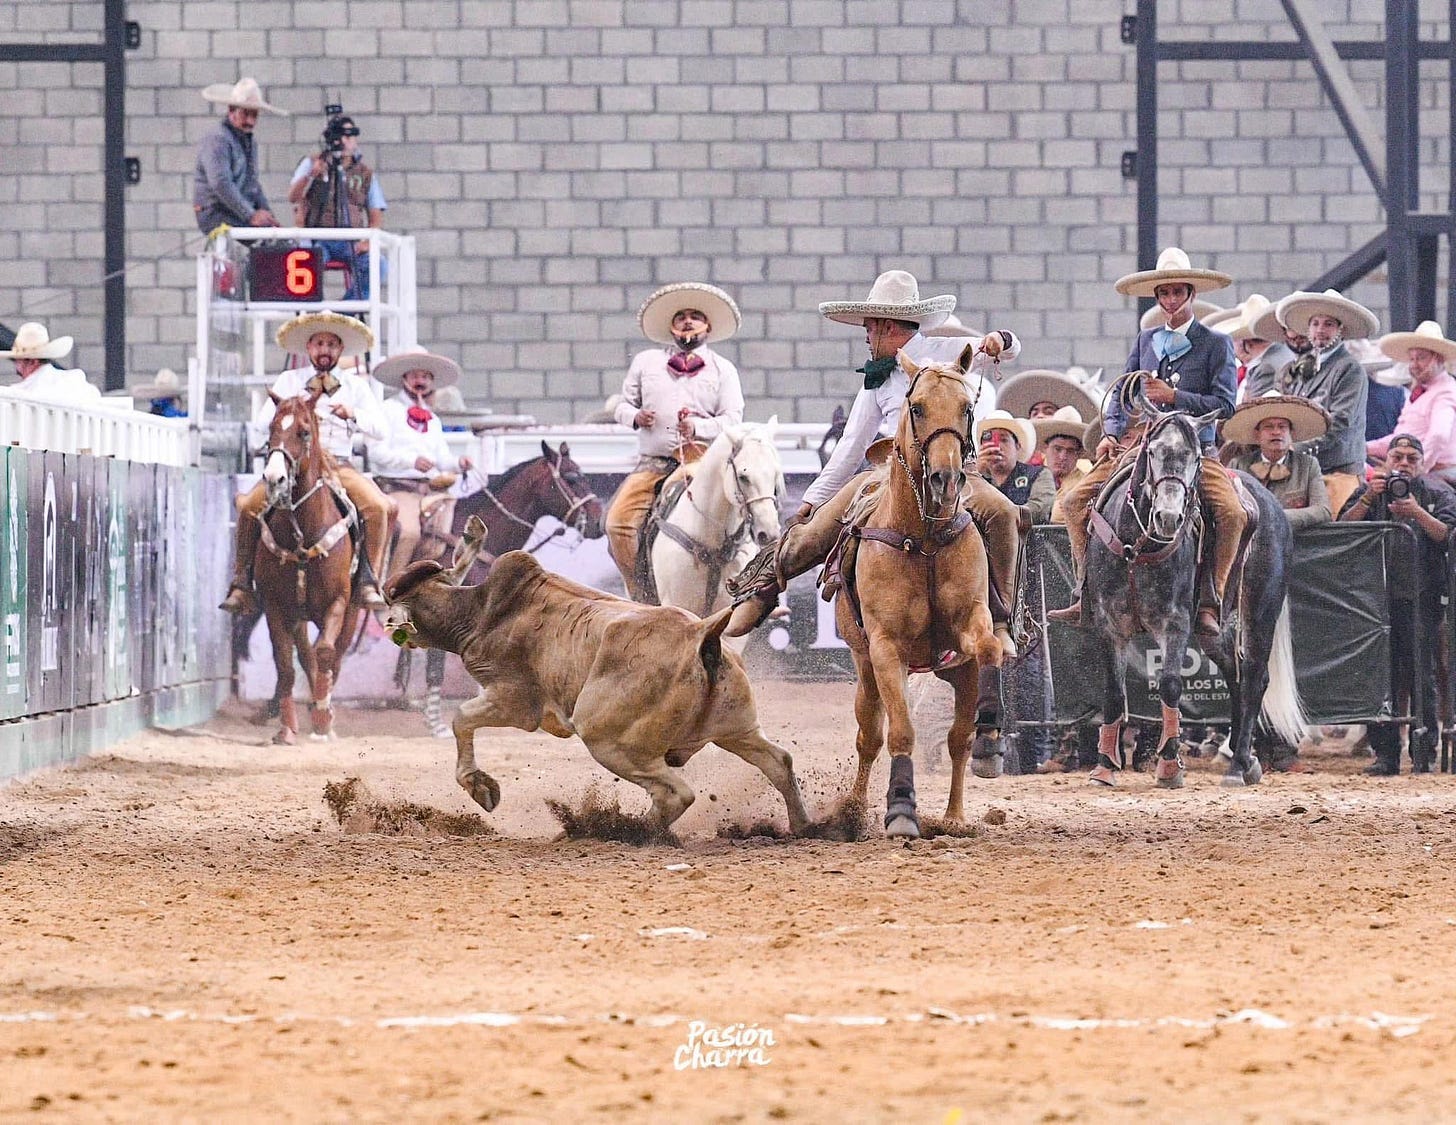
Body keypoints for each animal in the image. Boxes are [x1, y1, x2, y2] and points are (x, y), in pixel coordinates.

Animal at [253, 392, 361, 744]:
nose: (274, 479)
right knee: (304, 654)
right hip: (297, 616)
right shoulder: (275, 606)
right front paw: (287, 728)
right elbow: (285, 663)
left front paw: (324, 720)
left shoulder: (338, 603)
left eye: (303, 432)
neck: (303, 533)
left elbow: (325, 652)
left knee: (332, 657)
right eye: (272, 428)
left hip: (352, 613)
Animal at [837, 349, 1006, 839]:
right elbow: (901, 734)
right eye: (917, 409)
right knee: (870, 737)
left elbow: (987, 648)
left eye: (967, 408)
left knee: (957, 738)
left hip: (955, 674)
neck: (924, 540)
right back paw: (853, 809)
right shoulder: (886, 650)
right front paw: (900, 810)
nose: (946, 479)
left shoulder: (970, 625)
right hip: (866, 671)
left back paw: (954, 814)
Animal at [1082, 406, 1306, 788]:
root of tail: (1272, 505)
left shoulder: (1173, 623)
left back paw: (1237, 766)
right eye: (1152, 451)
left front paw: (1170, 766)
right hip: (1212, 630)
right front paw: (1105, 766)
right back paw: (1247, 762)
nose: (1168, 518)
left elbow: (1170, 684)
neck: (1136, 548)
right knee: (1235, 674)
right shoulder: (1110, 625)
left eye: (1195, 456)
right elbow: (1114, 692)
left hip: (1260, 611)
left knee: (1254, 678)